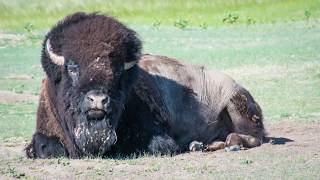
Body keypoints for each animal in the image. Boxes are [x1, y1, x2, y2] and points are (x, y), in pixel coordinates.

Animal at [25, 12, 264, 158]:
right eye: (72, 67)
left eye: (117, 70)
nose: (98, 100)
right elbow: (44, 145)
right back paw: (200, 145)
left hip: (235, 105)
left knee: (253, 137)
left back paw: (230, 144)